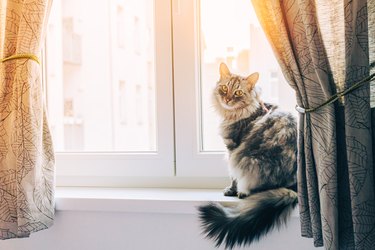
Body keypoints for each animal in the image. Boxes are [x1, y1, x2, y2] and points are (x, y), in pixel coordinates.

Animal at [198, 62, 298, 248]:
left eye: (238, 92)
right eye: (224, 88)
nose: (227, 99)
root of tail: (293, 187)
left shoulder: (232, 149)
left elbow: (233, 177)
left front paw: (231, 190)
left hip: (246, 159)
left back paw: (243, 193)